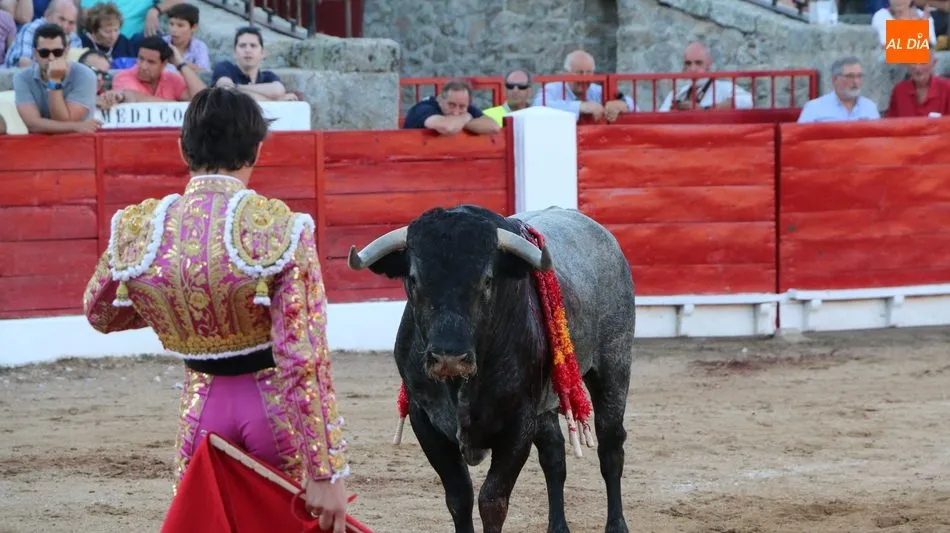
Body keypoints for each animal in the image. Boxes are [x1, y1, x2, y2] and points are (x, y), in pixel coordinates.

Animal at [347, 204, 636, 533]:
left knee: (610, 446)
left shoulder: (519, 423)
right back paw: (557, 527)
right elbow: (459, 496)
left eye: (486, 280)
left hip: (614, 363)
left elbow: (493, 501)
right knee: (554, 456)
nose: (449, 358)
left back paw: (617, 525)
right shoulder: (425, 420)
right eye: (414, 279)